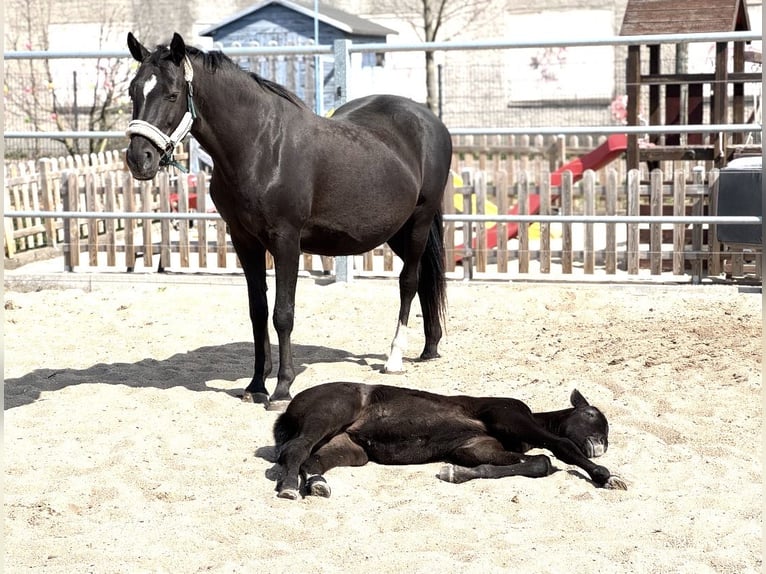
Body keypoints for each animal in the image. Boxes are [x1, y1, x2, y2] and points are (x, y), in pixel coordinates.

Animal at [124, 33, 451, 408]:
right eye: (133, 91)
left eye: (173, 94)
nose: (139, 159)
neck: (260, 146)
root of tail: (429, 120)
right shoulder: (244, 241)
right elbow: (258, 311)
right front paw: (256, 385)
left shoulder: (286, 241)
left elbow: (283, 313)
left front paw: (282, 388)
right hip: (396, 231)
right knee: (424, 277)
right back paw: (430, 347)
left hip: (419, 223)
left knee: (409, 281)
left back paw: (395, 358)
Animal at [272, 383, 627, 499]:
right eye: (591, 413)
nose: (601, 444)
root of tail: (290, 408)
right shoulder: (510, 415)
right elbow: (560, 448)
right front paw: (606, 476)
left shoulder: (475, 448)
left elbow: (537, 463)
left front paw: (453, 473)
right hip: (330, 413)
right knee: (296, 449)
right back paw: (289, 487)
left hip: (350, 447)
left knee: (313, 459)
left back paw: (317, 484)